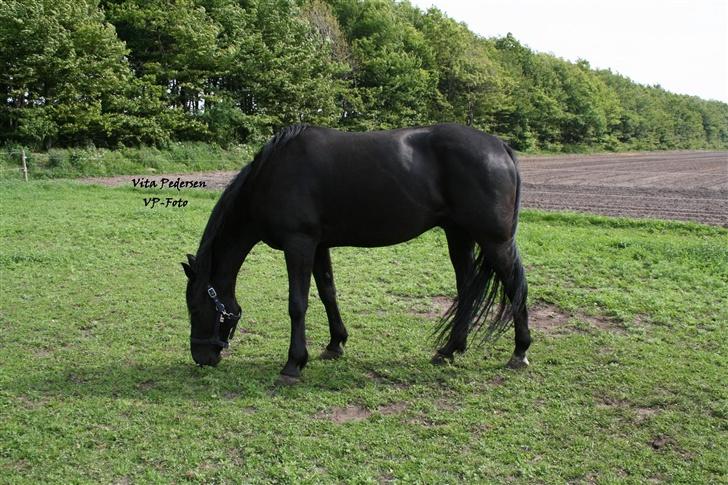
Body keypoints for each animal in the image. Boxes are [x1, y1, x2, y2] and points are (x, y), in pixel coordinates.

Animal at [182, 123, 528, 380]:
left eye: (195, 309)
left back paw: (520, 351)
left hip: (493, 240)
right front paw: (335, 344)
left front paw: (294, 363)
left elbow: (298, 303)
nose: (201, 356)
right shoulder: (318, 246)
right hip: (459, 235)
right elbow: (327, 293)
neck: (272, 177)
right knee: (467, 290)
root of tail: (500, 147)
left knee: (515, 287)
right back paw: (449, 349)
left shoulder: (299, 245)